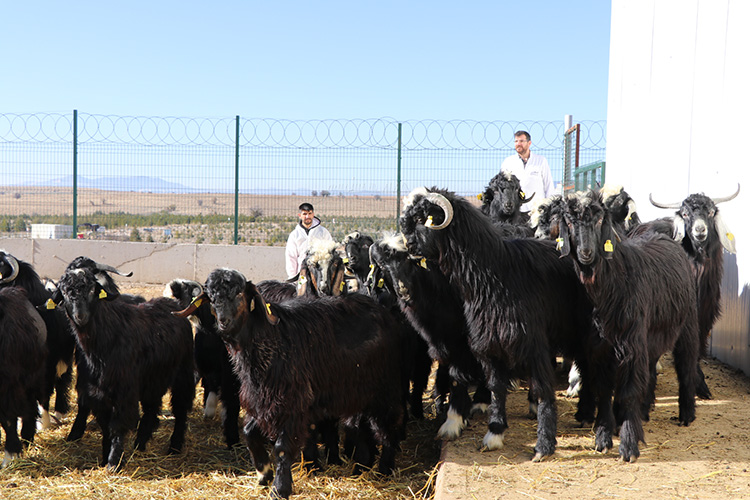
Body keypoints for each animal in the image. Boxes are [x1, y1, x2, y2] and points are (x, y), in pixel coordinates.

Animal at [54, 266, 195, 468]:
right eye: (65, 292)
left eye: (92, 289)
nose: (81, 316)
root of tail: (175, 303)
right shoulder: (97, 392)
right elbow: (105, 426)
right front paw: (105, 457)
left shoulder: (124, 390)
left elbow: (117, 425)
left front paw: (114, 462)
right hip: (153, 378)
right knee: (151, 408)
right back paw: (140, 443)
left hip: (183, 372)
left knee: (181, 408)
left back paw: (174, 447)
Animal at [178, 270, 406, 500]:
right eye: (211, 297)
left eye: (239, 293)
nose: (224, 321)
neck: (268, 339)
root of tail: (383, 312)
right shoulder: (263, 401)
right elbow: (249, 432)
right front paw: (264, 472)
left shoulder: (290, 403)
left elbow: (282, 448)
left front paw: (280, 488)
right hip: (357, 392)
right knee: (359, 426)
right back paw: (361, 467)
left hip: (385, 391)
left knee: (388, 429)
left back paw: (384, 469)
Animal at [402, 187, 596, 460]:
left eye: (423, 218)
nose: (408, 246)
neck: (495, 274)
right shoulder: (491, 343)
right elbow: (496, 388)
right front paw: (494, 433)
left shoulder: (533, 343)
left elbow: (544, 390)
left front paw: (544, 446)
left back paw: (588, 414)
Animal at [560, 189, 704, 462]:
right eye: (570, 222)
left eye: (599, 220)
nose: (586, 252)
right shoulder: (600, 348)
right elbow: (603, 391)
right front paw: (603, 437)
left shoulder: (631, 343)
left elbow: (627, 393)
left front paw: (628, 446)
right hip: (652, 335)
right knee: (650, 369)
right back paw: (644, 411)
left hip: (688, 324)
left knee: (686, 364)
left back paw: (687, 414)